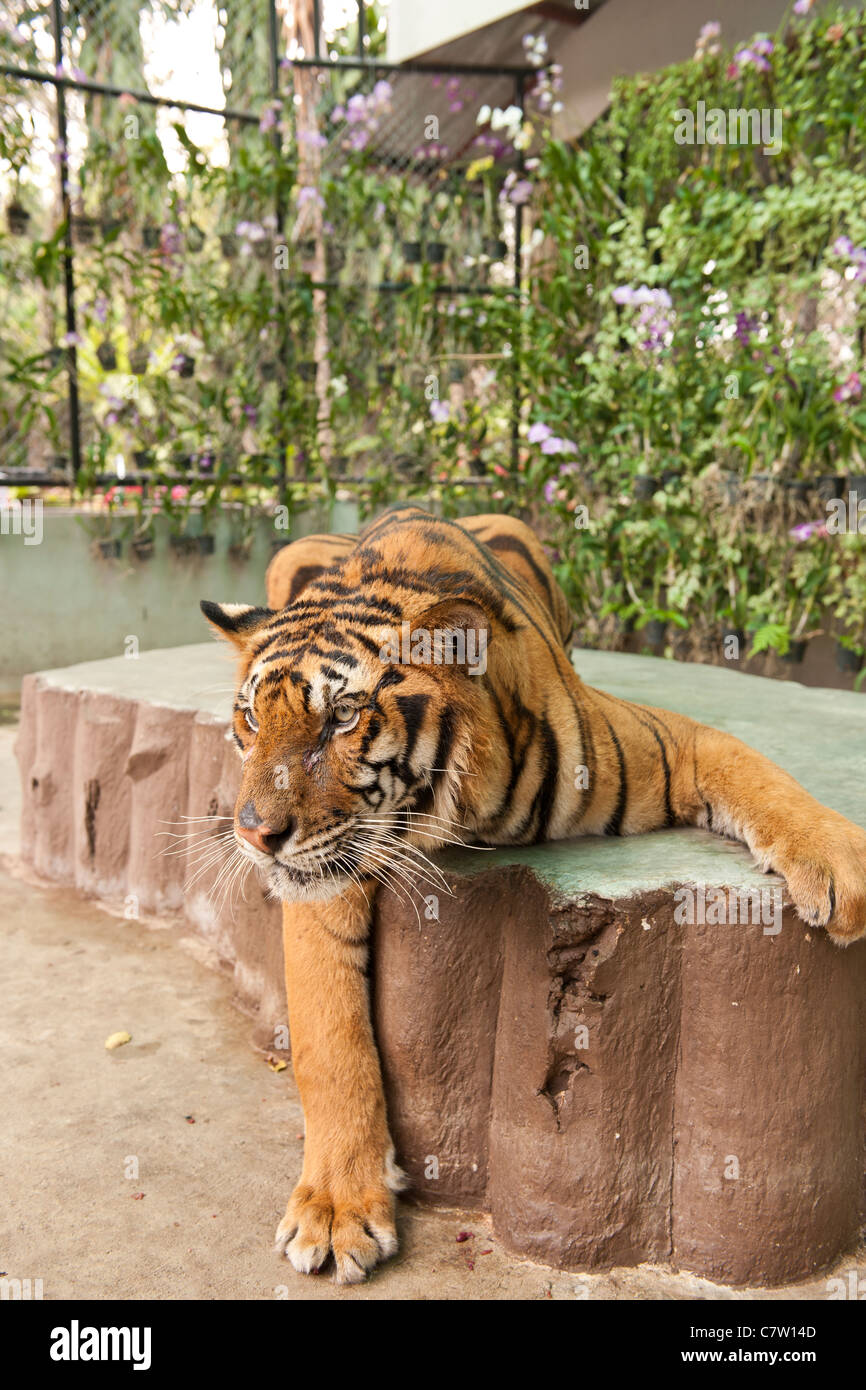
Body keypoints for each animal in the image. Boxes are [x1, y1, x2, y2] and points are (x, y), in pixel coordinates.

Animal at [200, 500, 866, 1278]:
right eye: (250, 718)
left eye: (341, 717)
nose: (254, 835)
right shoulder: (324, 879)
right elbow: (328, 1042)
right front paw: (337, 1209)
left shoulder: (667, 739)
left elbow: (760, 775)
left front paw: (842, 864)